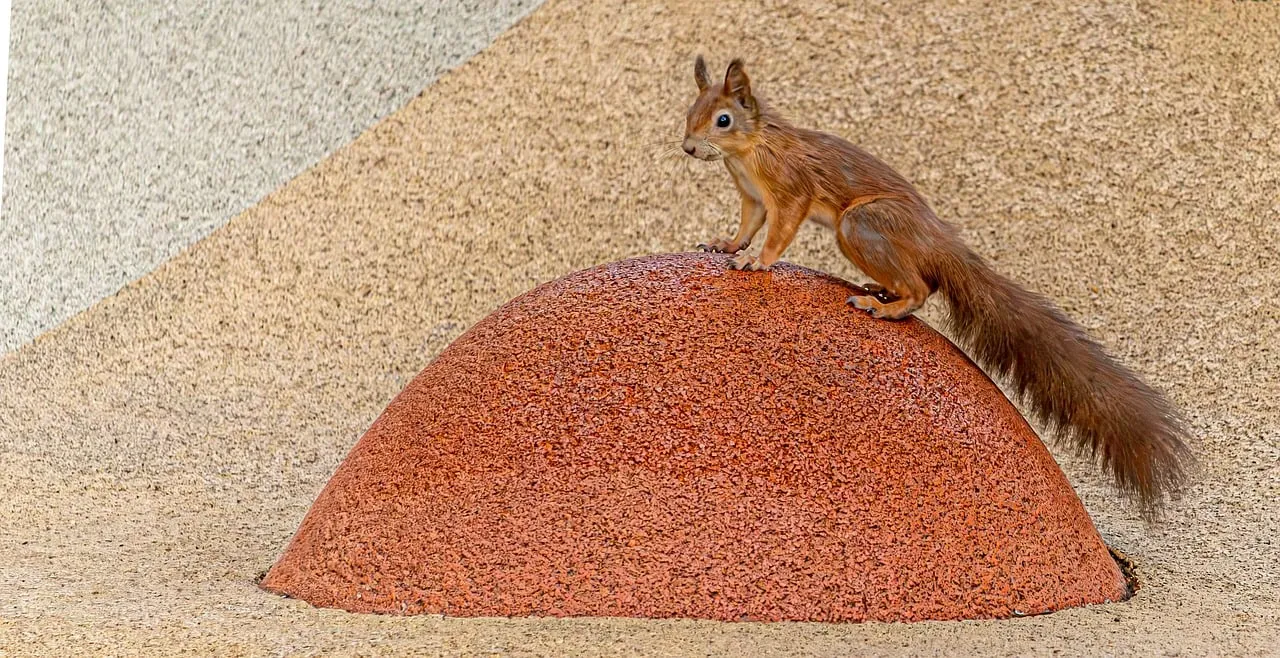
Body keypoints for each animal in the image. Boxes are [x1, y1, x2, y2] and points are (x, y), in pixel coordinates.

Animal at [680, 56, 1192, 520]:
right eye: (690, 111)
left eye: (723, 119)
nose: (687, 148)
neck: (749, 149)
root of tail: (940, 241)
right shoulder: (751, 197)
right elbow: (747, 225)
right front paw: (727, 244)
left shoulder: (789, 190)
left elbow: (779, 231)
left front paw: (757, 262)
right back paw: (880, 290)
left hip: (861, 224)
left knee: (921, 288)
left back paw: (885, 306)